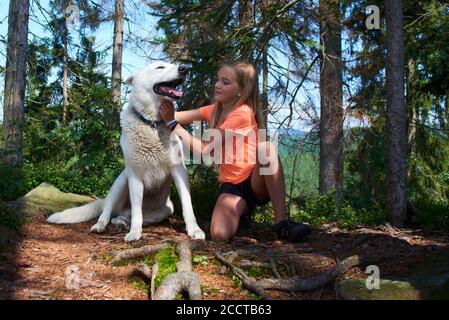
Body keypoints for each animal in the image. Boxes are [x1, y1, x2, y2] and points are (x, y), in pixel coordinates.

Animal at [46, 62, 205, 242]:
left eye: (174, 65)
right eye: (160, 67)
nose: (185, 68)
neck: (152, 123)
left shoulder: (179, 171)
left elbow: (187, 205)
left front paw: (194, 230)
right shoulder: (134, 175)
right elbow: (136, 210)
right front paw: (135, 233)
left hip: (165, 210)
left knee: (128, 216)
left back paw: (121, 222)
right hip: (121, 181)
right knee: (108, 211)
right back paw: (101, 225)